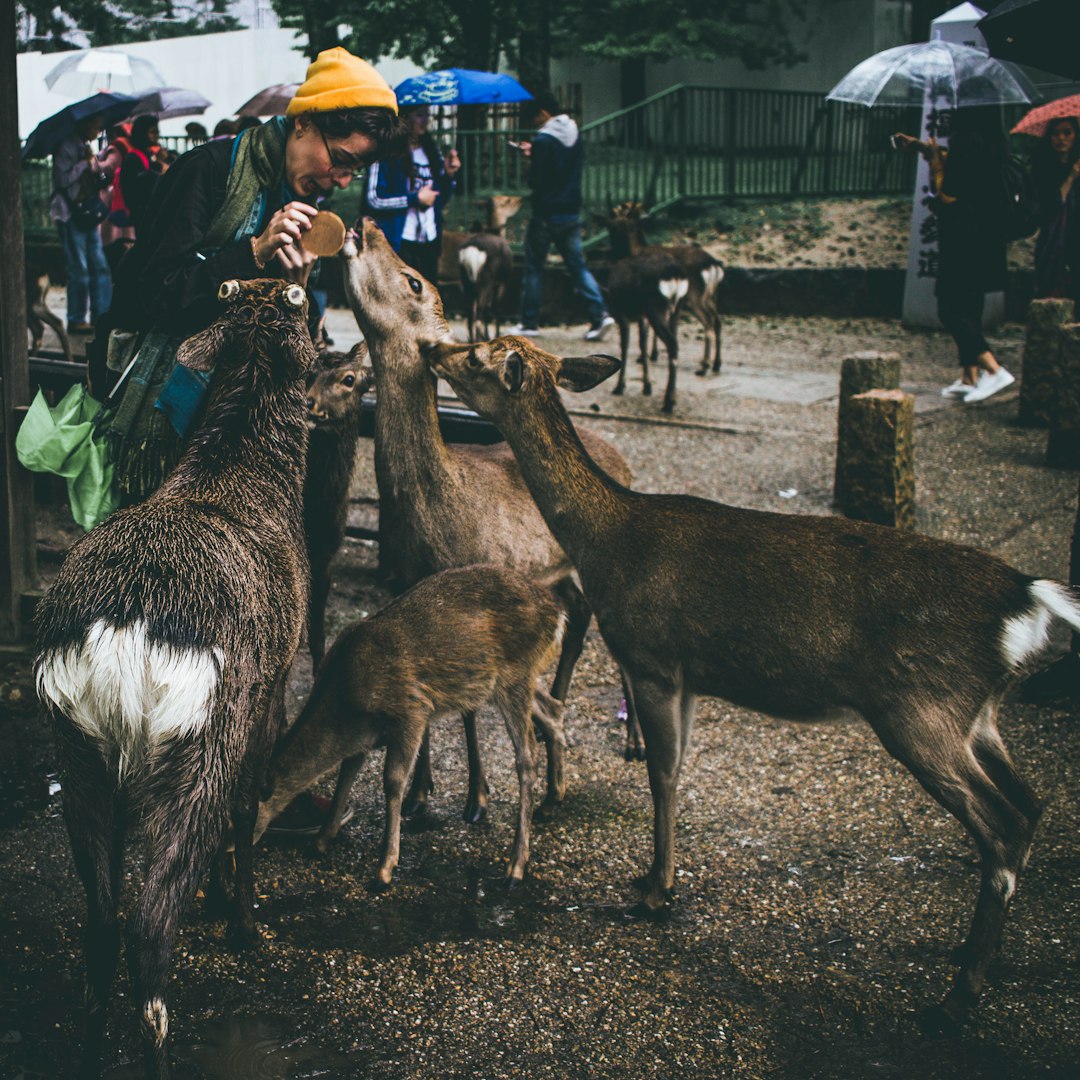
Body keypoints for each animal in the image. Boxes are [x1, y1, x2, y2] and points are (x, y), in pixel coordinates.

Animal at [32, 280, 315, 1080]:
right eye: (306, 306)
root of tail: (121, 631)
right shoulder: (274, 682)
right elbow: (250, 806)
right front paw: (243, 923)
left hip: (77, 745)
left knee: (101, 920)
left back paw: (91, 1050)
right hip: (198, 739)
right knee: (150, 927)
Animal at [258, 565, 570, 885]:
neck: (346, 699)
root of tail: (559, 614)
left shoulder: (412, 712)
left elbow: (392, 780)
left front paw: (384, 868)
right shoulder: (363, 734)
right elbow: (347, 772)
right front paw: (321, 840)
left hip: (515, 675)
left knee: (527, 755)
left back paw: (516, 866)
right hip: (515, 679)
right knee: (553, 710)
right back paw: (552, 799)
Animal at [339, 217, 630, 825]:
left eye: (415, 280)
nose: (370, 224)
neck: (436, 526)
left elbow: (471, 707)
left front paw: (475, 798)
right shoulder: (405, 587)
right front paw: (422, 794)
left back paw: (624, 744)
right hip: (555, 576)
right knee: (576, 626)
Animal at [423, 332, 1080, 1032]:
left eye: (476, 356)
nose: (434, 349)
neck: (607, 541)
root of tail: (1027, 602)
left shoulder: (654, 659)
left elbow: (661, 773)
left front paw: (655, 891)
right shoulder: (685, 678)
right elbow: (675, 770)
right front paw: (654, 879)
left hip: (920, 710)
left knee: (1001, 825)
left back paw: (960, 992)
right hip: (976, 714)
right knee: (1030, 806)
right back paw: (970, 957)